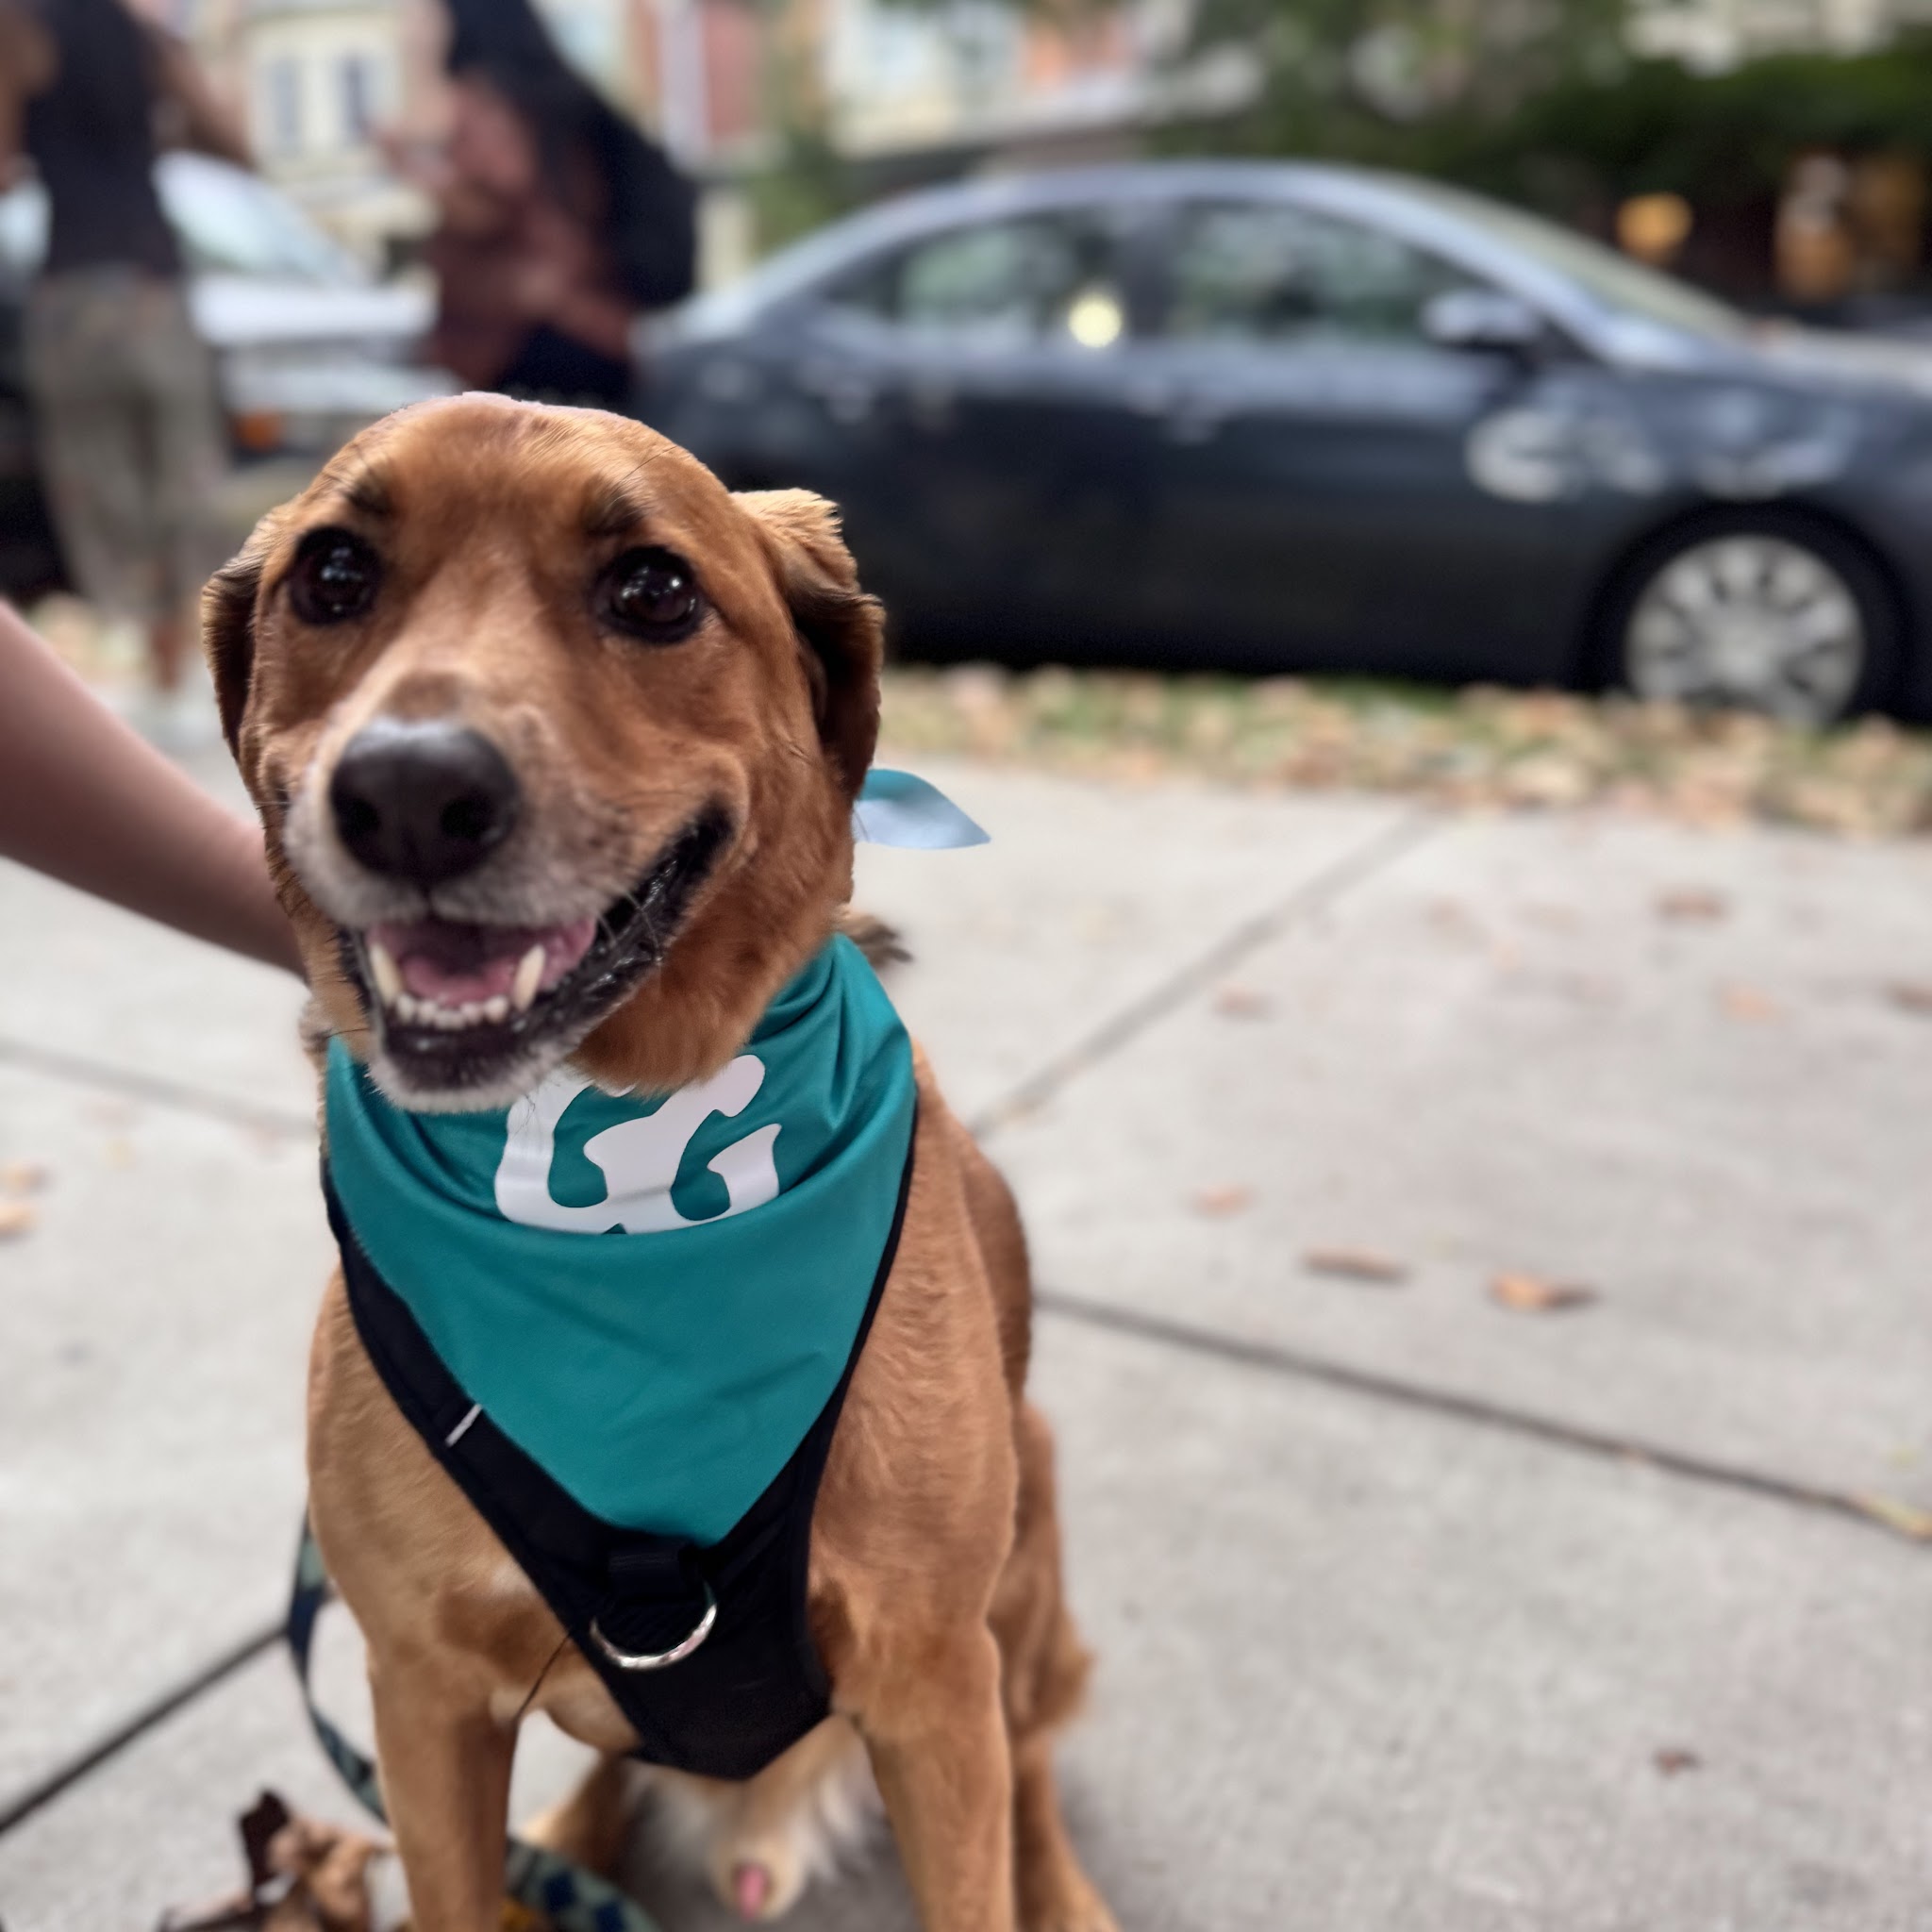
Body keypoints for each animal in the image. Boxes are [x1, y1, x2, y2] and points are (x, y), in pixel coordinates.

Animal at [205, 392, 1115, 1932]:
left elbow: (978, 1856)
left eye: (652, 591)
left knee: (1037, 1766)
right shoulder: (422, 1703)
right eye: (331, 575)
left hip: (1028, 1556)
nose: (407, 793)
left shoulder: (932, 1686)